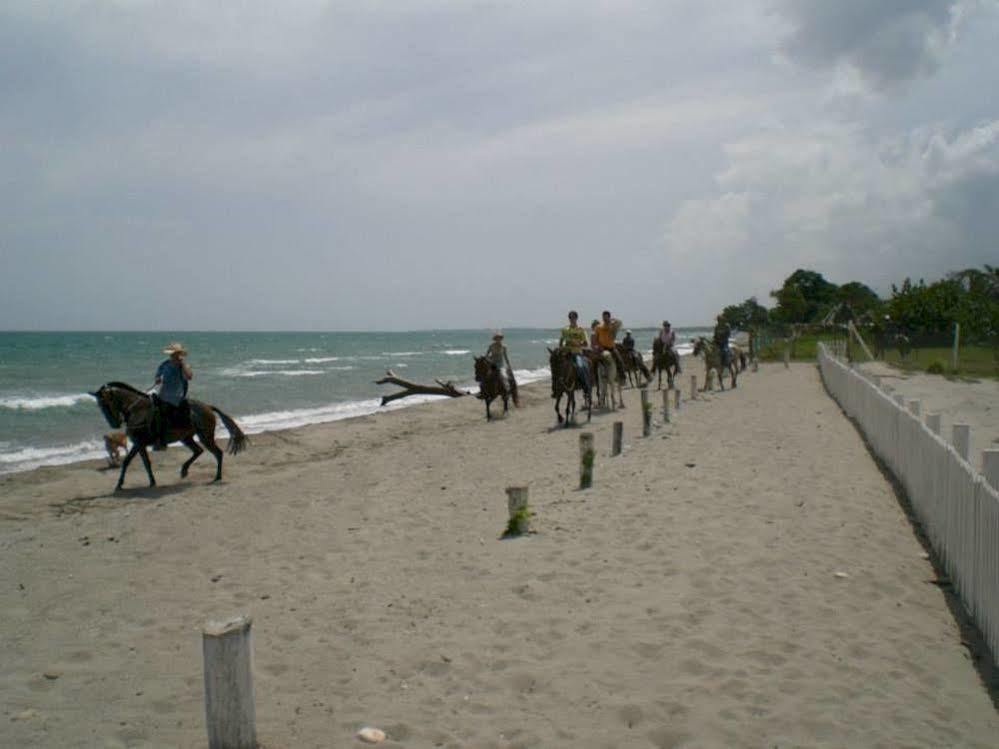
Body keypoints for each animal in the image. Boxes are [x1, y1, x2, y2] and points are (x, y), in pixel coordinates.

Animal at [91, 380, 249, 490]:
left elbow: (127, 462)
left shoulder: (138, 443)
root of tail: (208, 407)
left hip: (205, 436)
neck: (137, 410)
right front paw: (151, 482)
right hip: (187, 437)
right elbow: (145, 463)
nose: (114, 424)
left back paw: (217, 476)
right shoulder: (139, 445)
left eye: (106, 403)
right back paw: (184, 470)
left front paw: (119, 484)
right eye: (99, 405)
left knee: (217, 453)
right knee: (198, 451)